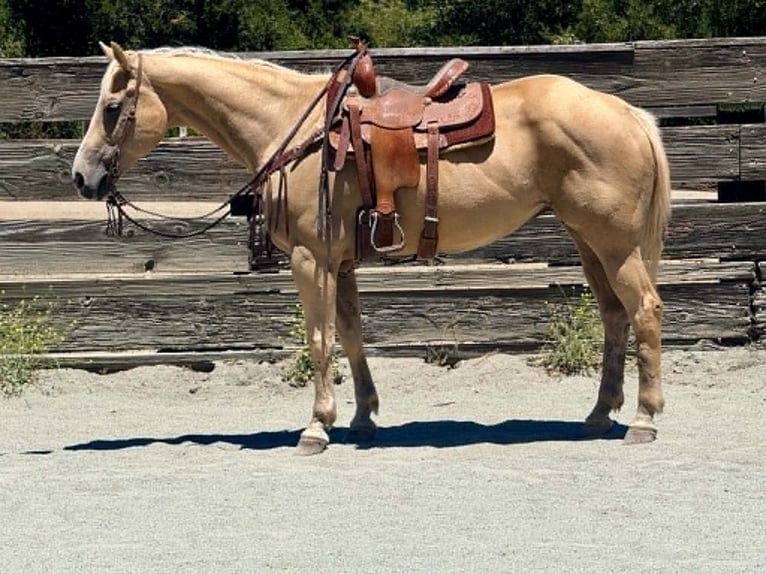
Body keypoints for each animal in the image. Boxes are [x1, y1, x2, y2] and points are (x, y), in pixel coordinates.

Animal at [72, 42, 671, 455]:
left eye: (112, 107)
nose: (81, 177)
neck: (296, 129)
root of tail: (628, 114)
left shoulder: (311, 259)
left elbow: (319, 340)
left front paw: (316, 428)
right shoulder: (338, 261)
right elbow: (352, 334)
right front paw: (362, 417)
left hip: (615, 245)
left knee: (644, 311)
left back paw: (643, 420)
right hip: (589, 242)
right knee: (614, 316)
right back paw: (599, 415)